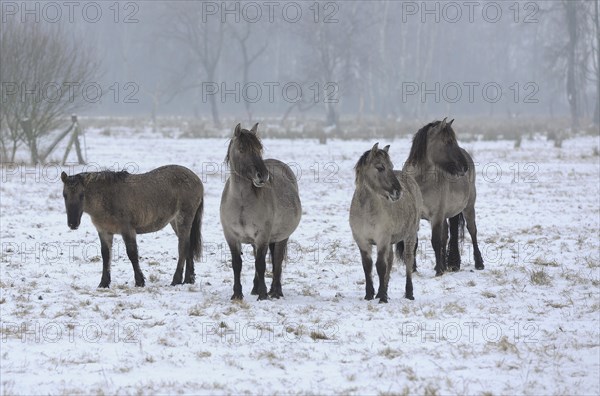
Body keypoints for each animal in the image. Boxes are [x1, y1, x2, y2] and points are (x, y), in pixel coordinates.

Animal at [60, 164, 204, 288]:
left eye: (81, 195)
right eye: (64, 195)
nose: (72, 224)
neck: (107, 197)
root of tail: (197, 179)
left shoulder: (127, 230)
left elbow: (132, 254)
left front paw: (139, 281)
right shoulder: (104, 232)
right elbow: (106, 255)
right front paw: (104, 283)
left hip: (183, 219)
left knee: (183, 247)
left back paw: (176, 280)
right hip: (175, 222)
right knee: (188, 246)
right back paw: (189, 279)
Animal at [219, 123, 300, 300]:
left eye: (259, 148)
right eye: (242, 149)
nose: (263, 176)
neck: (241, 202)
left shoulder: (262, 236)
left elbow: (261, 264)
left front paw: (263, 295)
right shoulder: (231, 236)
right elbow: (237, 264)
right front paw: (237, 294)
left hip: (281, 237)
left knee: (277, 261)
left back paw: (275, 291)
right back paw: (255, 288)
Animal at [346, 144, 422, 302]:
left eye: (391, 166)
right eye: (380, 167)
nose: (398, 192)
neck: (366, 212)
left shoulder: (382, 240)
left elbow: (381, 266)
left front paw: (381, 297)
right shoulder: (362, 241)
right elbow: (367, 266)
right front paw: (370, 294)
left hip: (410, 235)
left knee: (408, 260)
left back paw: (409, 293)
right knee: (391, 261)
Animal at [400, 117, 486, 276]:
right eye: (448, 141)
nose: (464, 166)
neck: (420, 182)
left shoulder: (436, 216)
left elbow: (435, 241)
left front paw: (439, 270)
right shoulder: (417, 217)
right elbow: (414, 242)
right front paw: (413, 269)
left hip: (468, 208)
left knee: (472, 231)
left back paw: (478, 263)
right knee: (446, 235)